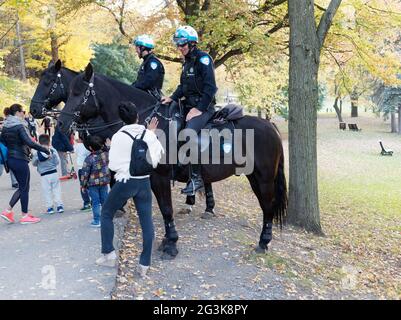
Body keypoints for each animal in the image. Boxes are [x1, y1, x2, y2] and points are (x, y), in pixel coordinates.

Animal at [57, 63, 286, 258]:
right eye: (68, 92)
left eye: (79, 93)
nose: (60, 124)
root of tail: (270, 126)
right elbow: (162, 208)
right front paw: (167, 240)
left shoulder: (160, 177)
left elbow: (166, 208)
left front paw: (172, 244)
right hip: (254, 177)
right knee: (266, 205)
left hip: (264, 178)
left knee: (268, 206)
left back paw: (264, 241)